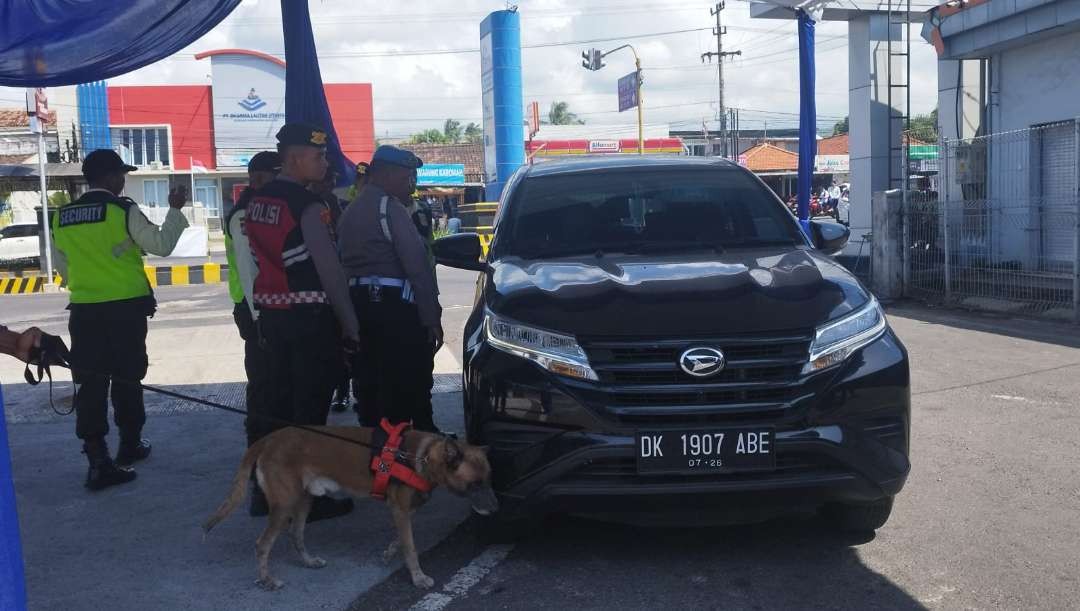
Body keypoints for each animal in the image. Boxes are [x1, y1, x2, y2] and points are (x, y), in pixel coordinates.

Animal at [203, 425, 496, 595]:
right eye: (475, 484)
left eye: (489, 480)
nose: (497, 508)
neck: (420, 457)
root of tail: (267, 439)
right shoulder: (400, 509)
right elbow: (411, 548)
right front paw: (418, 577)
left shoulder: (405, 511)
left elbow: (400, 541)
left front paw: (390, 552)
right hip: (284, 505)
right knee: (262, 544)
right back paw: (267, 580)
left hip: (304, 500)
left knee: (296, 534)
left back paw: (308, 561)